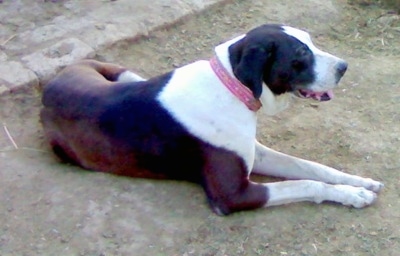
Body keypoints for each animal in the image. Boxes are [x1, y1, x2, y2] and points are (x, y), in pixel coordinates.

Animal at [41, 24, 384, 215]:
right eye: (301, 55)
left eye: (311, 42)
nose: (343, 67)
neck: (231, 86)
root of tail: (51, 85)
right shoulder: (232, 195)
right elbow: (304, 183)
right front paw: (353, 195)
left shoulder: (256, 154)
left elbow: (311, 168)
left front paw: (357, 183)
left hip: (125, 74)